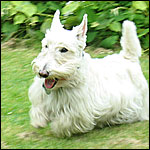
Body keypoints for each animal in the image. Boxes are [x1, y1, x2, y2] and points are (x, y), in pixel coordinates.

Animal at [28, 9, 149, 137]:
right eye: (46, 46)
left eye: (64, 49)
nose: (43, 73)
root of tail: (129, 57)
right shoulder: (40, 96)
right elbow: (38, 109)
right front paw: (39, 122)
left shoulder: (79, 110)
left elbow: (65, 121)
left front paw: (57, 128)